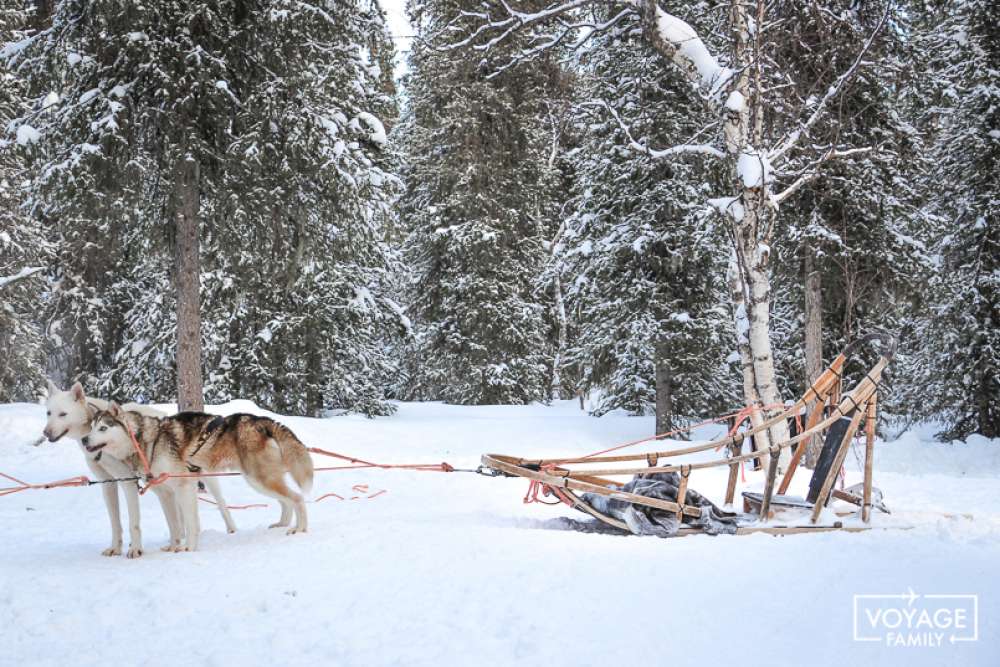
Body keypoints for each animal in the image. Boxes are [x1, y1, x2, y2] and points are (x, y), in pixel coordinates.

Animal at [44, 380, 238, 560]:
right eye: (48, 413)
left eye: (63, 414)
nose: (45, 432)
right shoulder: (108, 484)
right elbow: (115, 523)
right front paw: (115, 547)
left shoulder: (128, 481)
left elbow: (134, 522)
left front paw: (136, 548)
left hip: (206, 479)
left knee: (221, 503)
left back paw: (230, 529)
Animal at [89, 404, 312, 552]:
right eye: (92, 427)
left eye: (103, 428)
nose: (84, 439)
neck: (148, 440)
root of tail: (262, 420)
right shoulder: (166, 494)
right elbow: (174, 525)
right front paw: (174, 546)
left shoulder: (183, 487)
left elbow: (189, 523)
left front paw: (188, 548)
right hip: (260, 479)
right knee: (287, 501)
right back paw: (282, 524)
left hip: (259, 479)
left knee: (297, 498)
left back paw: (299, 528)